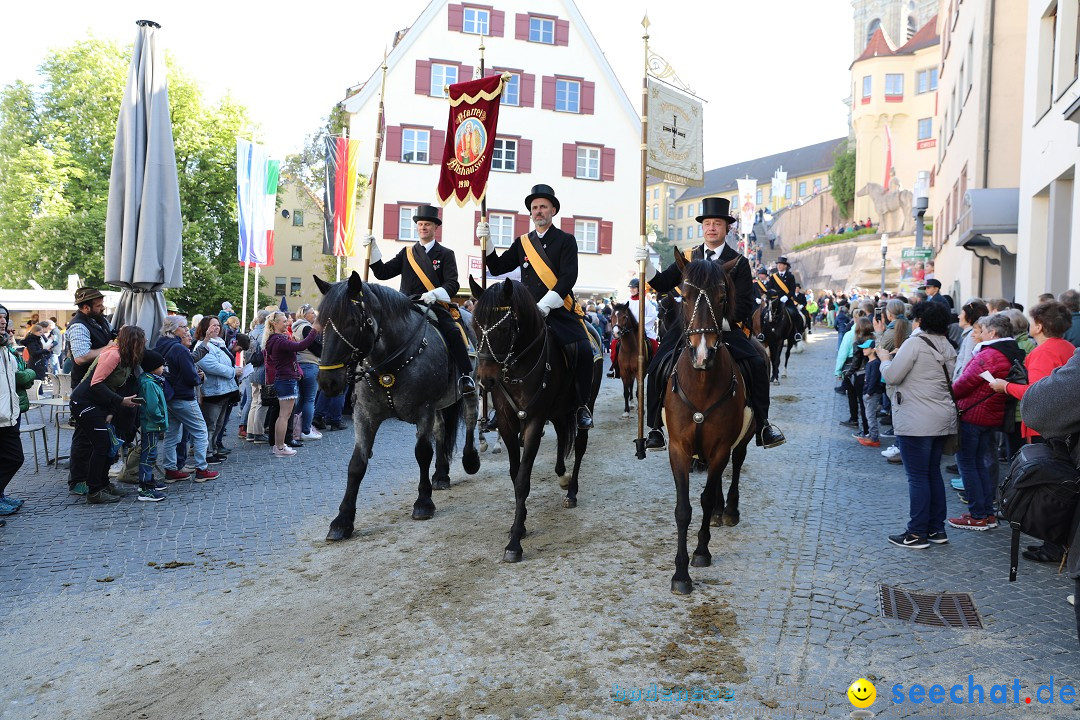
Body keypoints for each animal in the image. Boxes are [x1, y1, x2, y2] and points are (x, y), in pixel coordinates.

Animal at [315, 273, 479, 544]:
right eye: (320, 323)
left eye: (351, 321)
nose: (328, 382)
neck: (388, 364)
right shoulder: (365, 415)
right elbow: (356, 464)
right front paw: (343, 520)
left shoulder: (424, 409)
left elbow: (422, 453)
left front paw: (423, 502)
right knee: (442, 431)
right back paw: (441, 474)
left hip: (470, 389)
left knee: (471, 418)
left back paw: (470, 459)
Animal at [470, 276, 604, 561]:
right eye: (475, 325)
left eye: (503, 328)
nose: (485, 380)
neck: (519, 365)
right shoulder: (508, 423)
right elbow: (514, 473)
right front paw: (518, 526)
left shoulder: (534, 421)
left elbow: (522, 478)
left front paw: (514, 543)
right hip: (559, 411)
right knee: (563, 435)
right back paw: (562, 476)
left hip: (584, 405)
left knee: (580, 445)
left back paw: (571, 491)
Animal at [660, 253, 756, 595]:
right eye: (685, 297)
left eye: (723, 298)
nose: (703, 353)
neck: (701, 382)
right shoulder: (678, 449)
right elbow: (683, 509)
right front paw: (680, 573)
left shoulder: (719, 449)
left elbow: (704, 498)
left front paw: (701, 552)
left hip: (742, 439)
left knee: (736, 465)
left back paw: (728, 510)